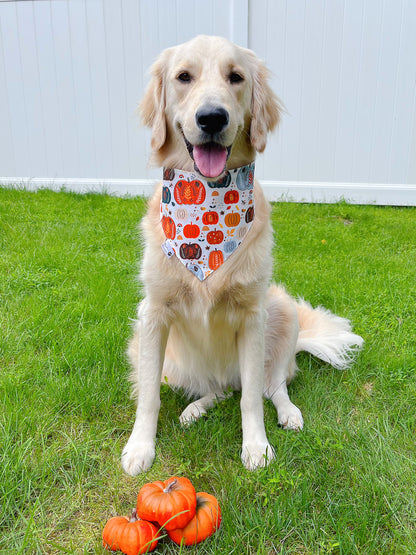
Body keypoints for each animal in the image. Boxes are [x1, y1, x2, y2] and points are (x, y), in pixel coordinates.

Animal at [121, 35, 364, 478]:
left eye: (235, 77)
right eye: (184, 76)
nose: (212, 118)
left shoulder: (253, 316)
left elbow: (252, 397)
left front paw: (256, 446)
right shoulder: (153, 313)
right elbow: (148, 395)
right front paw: (139, 447)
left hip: (282, 309)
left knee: (271, 384)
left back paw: (288, 412)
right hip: (167, 358)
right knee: (219, 389)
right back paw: (196, 408)